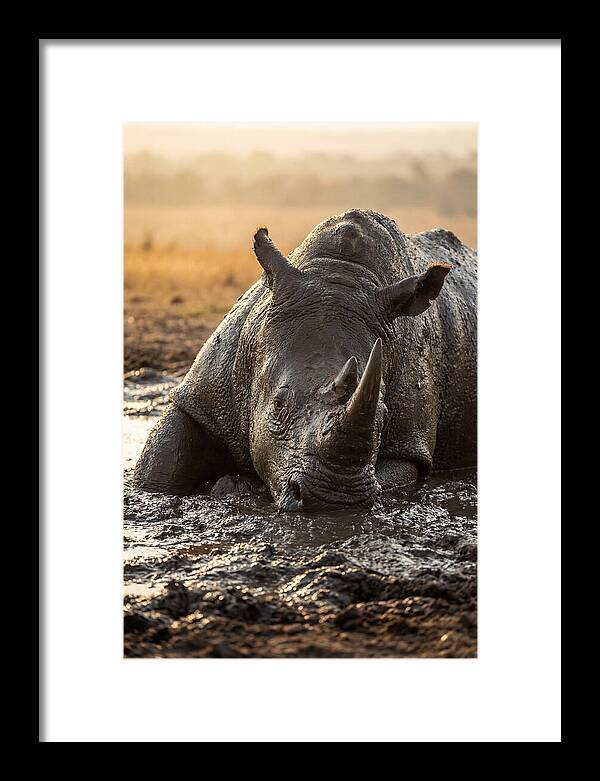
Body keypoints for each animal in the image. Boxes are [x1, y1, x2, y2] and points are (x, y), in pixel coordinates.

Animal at [133, 209, 477, 512]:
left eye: (383, 414)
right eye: (277, 405)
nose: (334, 498)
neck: (340, 274)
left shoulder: (409, 444)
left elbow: (396, 473)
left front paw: (235, 486)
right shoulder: (201, 396)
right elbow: (159, 468)